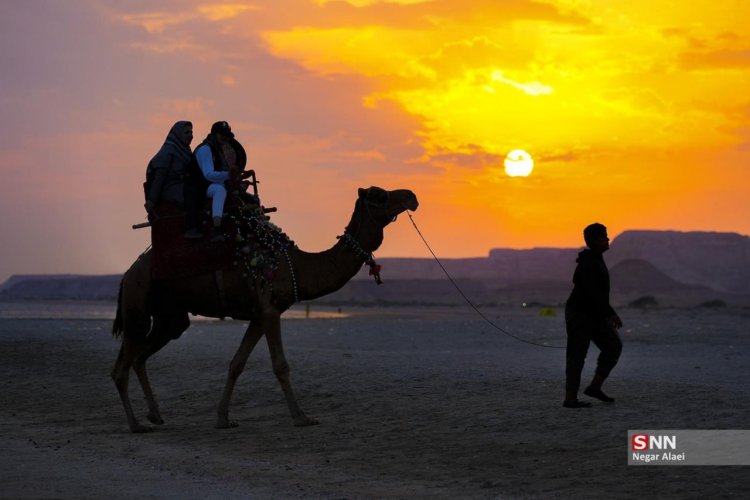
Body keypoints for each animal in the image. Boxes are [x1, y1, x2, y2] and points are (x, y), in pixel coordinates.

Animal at [111, 186, 420, 432]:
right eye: (381, 195)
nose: (412, 196)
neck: (296, 267)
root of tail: (128, 273)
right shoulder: (270, 311)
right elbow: (281, 365)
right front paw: (301, 417)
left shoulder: (259, 316)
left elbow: (236, 364)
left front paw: (223, 418)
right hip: (138, 304)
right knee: (122, 365)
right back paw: (136, 424)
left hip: (170, 317)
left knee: (140, 356)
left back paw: (155, 415)